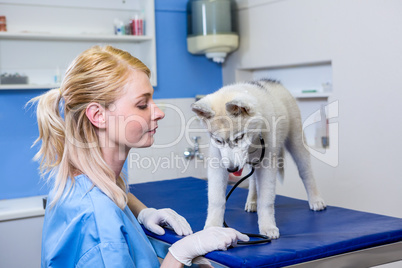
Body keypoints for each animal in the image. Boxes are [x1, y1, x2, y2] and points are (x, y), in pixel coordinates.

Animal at [192, 79, 326, 239]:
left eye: (239, 137)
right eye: (218, 140)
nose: (232, 169)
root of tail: (274, 82)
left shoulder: (268, 165)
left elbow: (266, 200)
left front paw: (267, 226)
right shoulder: (217, 163)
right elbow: (216, 198)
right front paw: (212, 228)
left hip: (296, 143)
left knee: (306, 173)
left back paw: (315, 199)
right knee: (253, 179)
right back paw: (252, 200)